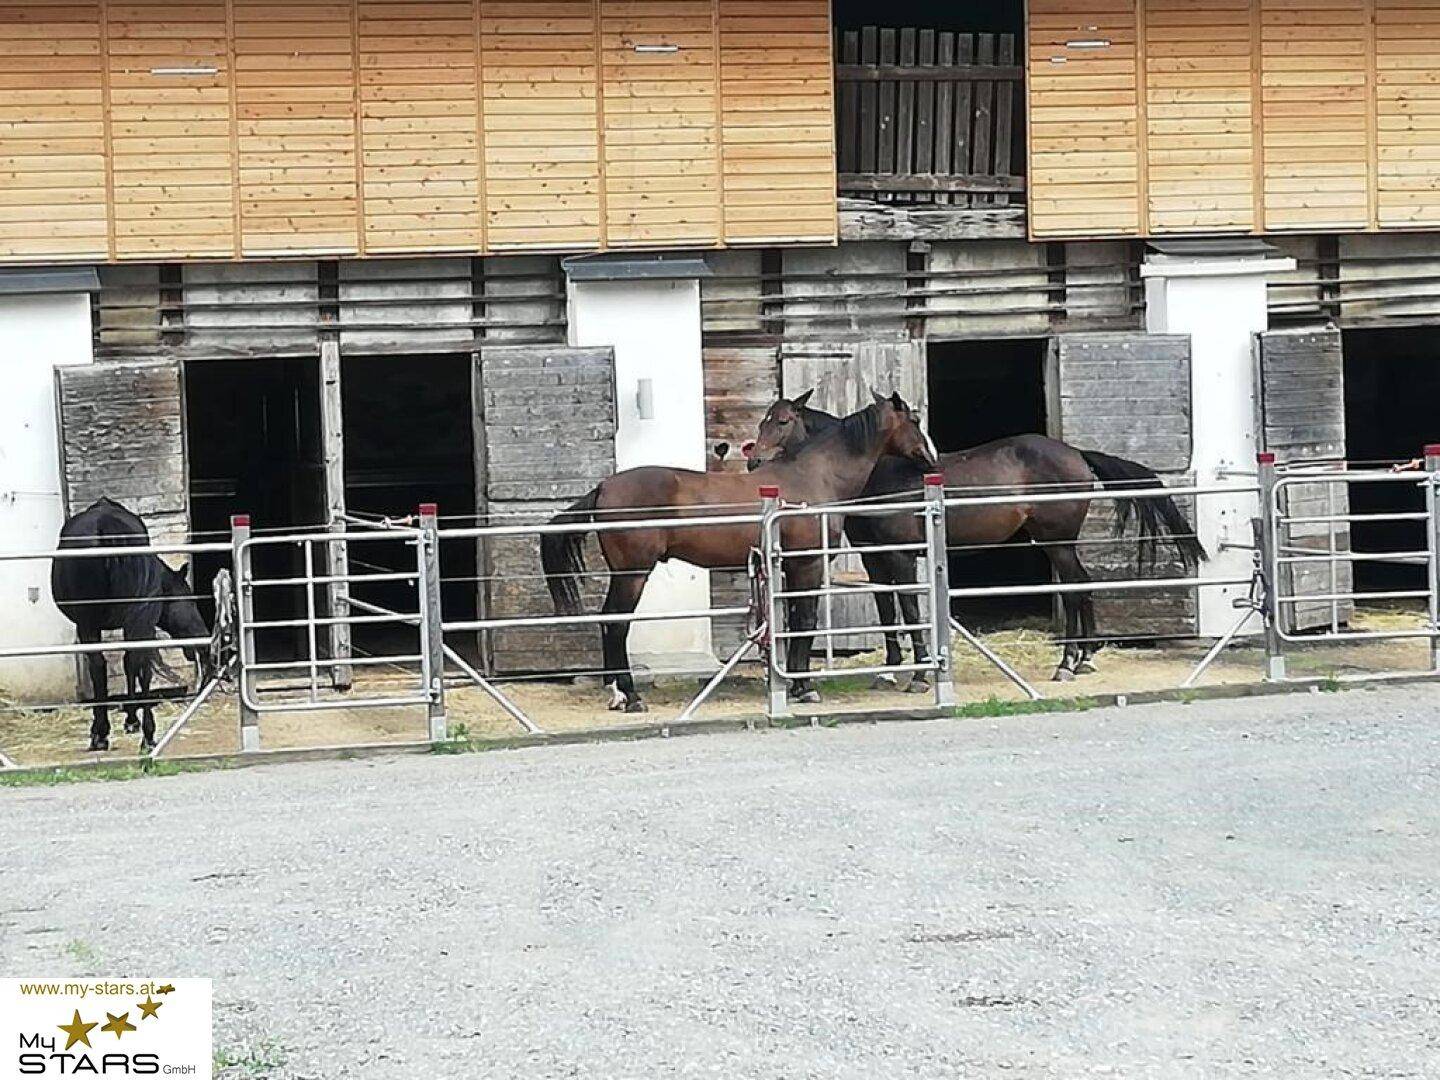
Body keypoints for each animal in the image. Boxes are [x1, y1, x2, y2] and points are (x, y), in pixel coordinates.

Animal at [51, 498, 211, 751]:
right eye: (189, 598)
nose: (203, 640)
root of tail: (105, 527)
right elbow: (130, 664)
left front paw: (128, 719)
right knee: (134, 665)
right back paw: (143, 735)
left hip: (94, 623)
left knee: (108, 666)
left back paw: (109, 732)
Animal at [540, 393, 936, 713]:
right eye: (914, 421)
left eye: (782, 421)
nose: (929, 458)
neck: (815, 477)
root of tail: (605, 486)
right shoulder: (808, 564)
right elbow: (806, 622)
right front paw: (806, 688)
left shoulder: (789, 568)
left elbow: (793, 621)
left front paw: (794, 685)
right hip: (633, 575)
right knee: (616, 623)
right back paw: (630, 697)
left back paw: (618, 694)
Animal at [745, 393, 1207, 683]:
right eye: (763, 418)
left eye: (782, 421)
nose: (753, 462)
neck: (880, 473)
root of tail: (1075, 454)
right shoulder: (874, 557)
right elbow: (887, 611)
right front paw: (890, 669)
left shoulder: (901, 555)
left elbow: (910, 609)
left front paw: (919, 674)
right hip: (1053, 543)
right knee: (1079, 588)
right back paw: (1080, 660)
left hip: (1057, 541)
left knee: (1077, 588)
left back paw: (1069, 662)